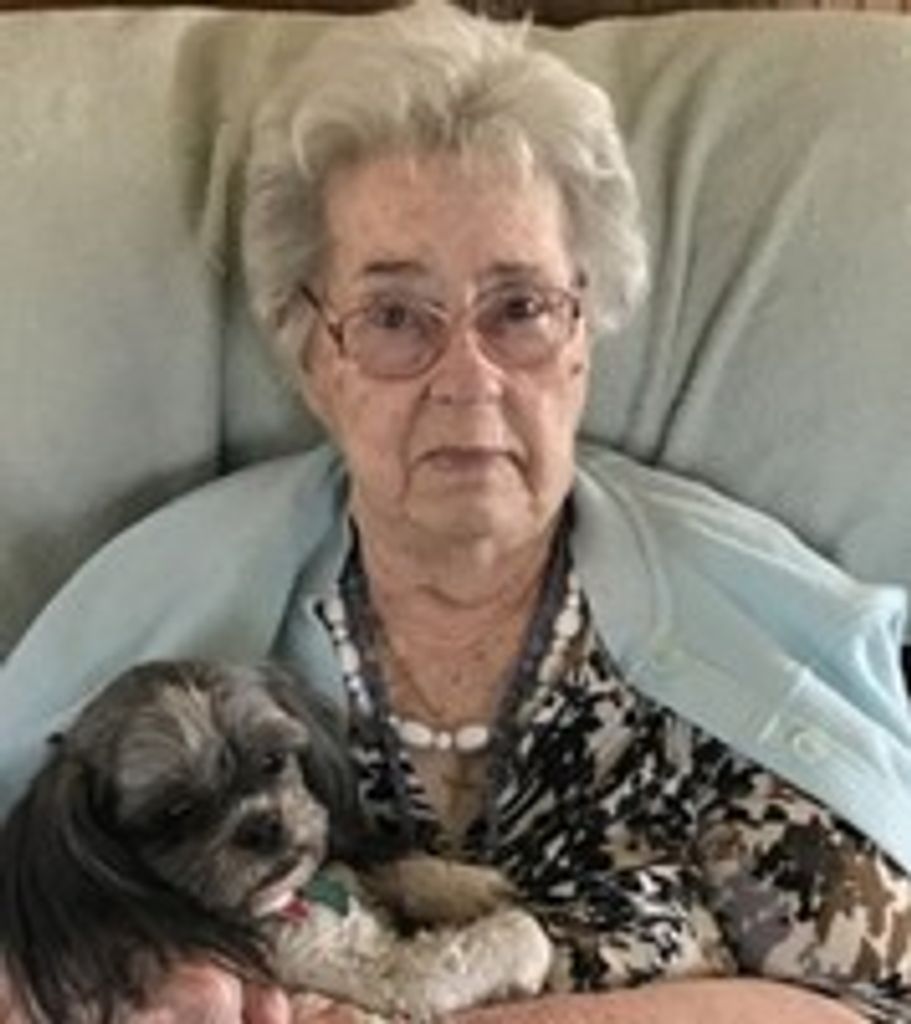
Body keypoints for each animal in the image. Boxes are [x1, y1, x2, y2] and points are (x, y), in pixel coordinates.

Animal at [0, 659, 553, 1023]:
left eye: (272, 760)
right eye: (177, 811)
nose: (263, 825)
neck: (292, 900)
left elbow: (393, 869)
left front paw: (463, 885)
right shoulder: (371, 972)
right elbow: (466, 951)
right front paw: (524, 943)